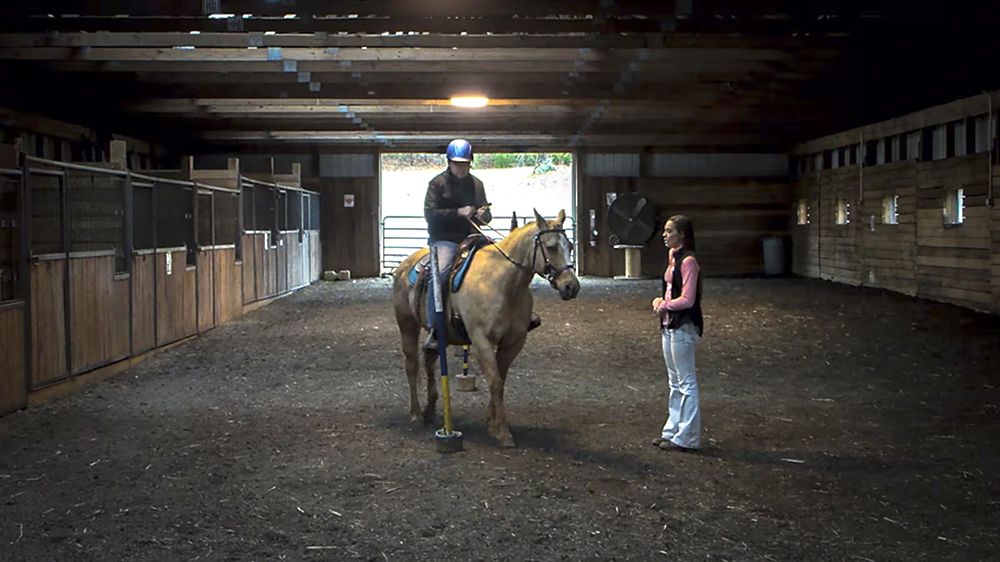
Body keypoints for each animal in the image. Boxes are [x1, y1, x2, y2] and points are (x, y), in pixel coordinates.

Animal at [390, 208, 580, 444]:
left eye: (570, 246)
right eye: (552, 247)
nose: (571, 286)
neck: (504, 285)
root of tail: (405, 264)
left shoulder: (513, 342)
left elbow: (500, 380)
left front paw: (491, 423)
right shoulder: (481, 341)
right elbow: (495, 382)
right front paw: (503, 432)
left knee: (430, 357)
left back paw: (430, 408)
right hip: (407, 324)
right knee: (412, 365)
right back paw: (416, 413)